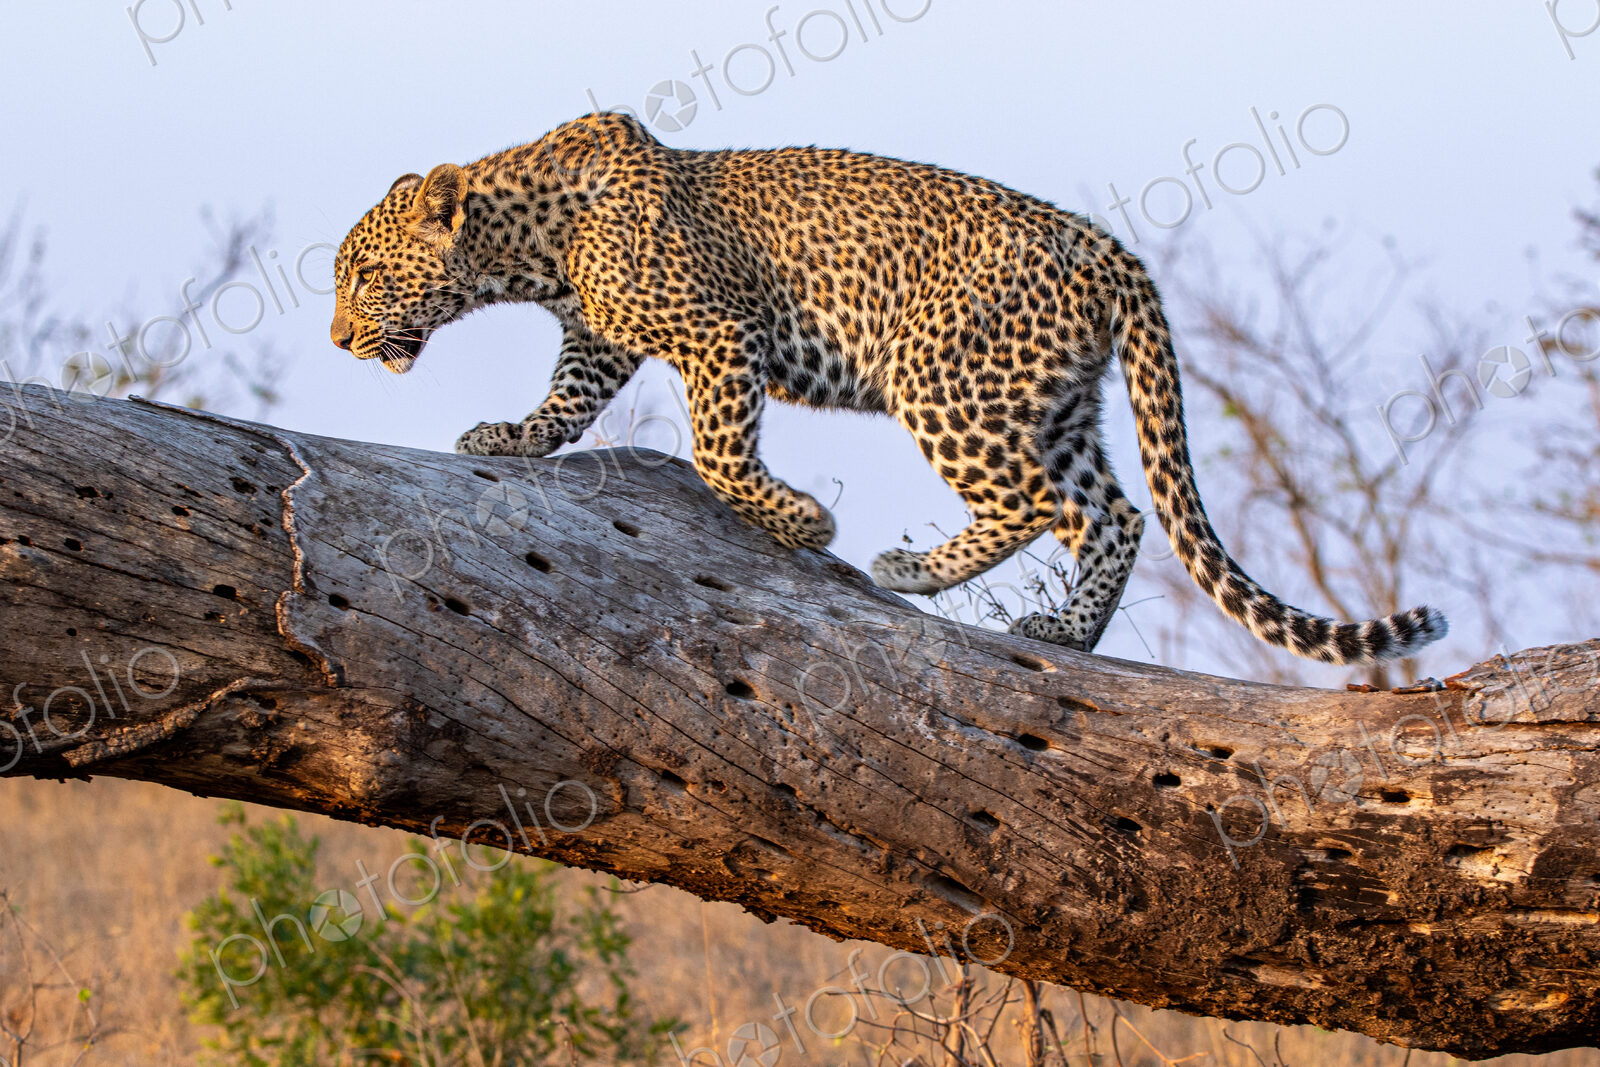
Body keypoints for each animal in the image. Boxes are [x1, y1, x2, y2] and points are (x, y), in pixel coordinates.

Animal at [330, 111, 1446, 665]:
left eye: (366, 277)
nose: (338, 338)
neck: (523, 245)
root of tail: (1102, 243)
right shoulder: (599, 338)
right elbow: (565, 398)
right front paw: (507, 437)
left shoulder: (720, 335)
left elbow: (719, 453)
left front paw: (799, 519)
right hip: (1055, 402)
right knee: (1113, 514)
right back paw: (1065, 633)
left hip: (943, 379)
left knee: (1034, 502)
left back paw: (910, 570)